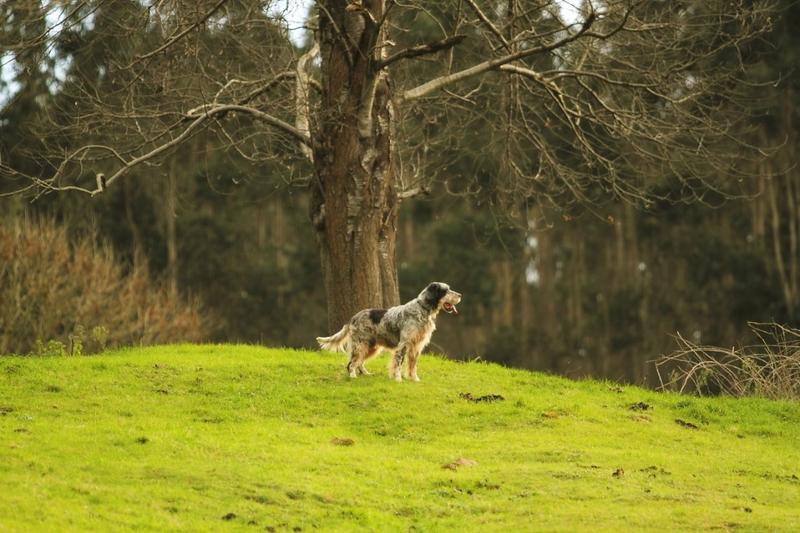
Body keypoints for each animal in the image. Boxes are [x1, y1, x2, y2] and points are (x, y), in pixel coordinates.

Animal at [314, 280, 460, 380]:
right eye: (446, 290)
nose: (460, 295)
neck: (423, 309)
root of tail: (352, 318)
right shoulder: (404, 344)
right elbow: (398, 363)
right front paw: (398, 379)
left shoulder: (416, 346)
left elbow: (412, 365)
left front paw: (414, 379)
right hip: (360, 345)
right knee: (351, 363)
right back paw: (353, 376)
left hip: (372, 347)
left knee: (359, 363)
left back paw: (366, 374)